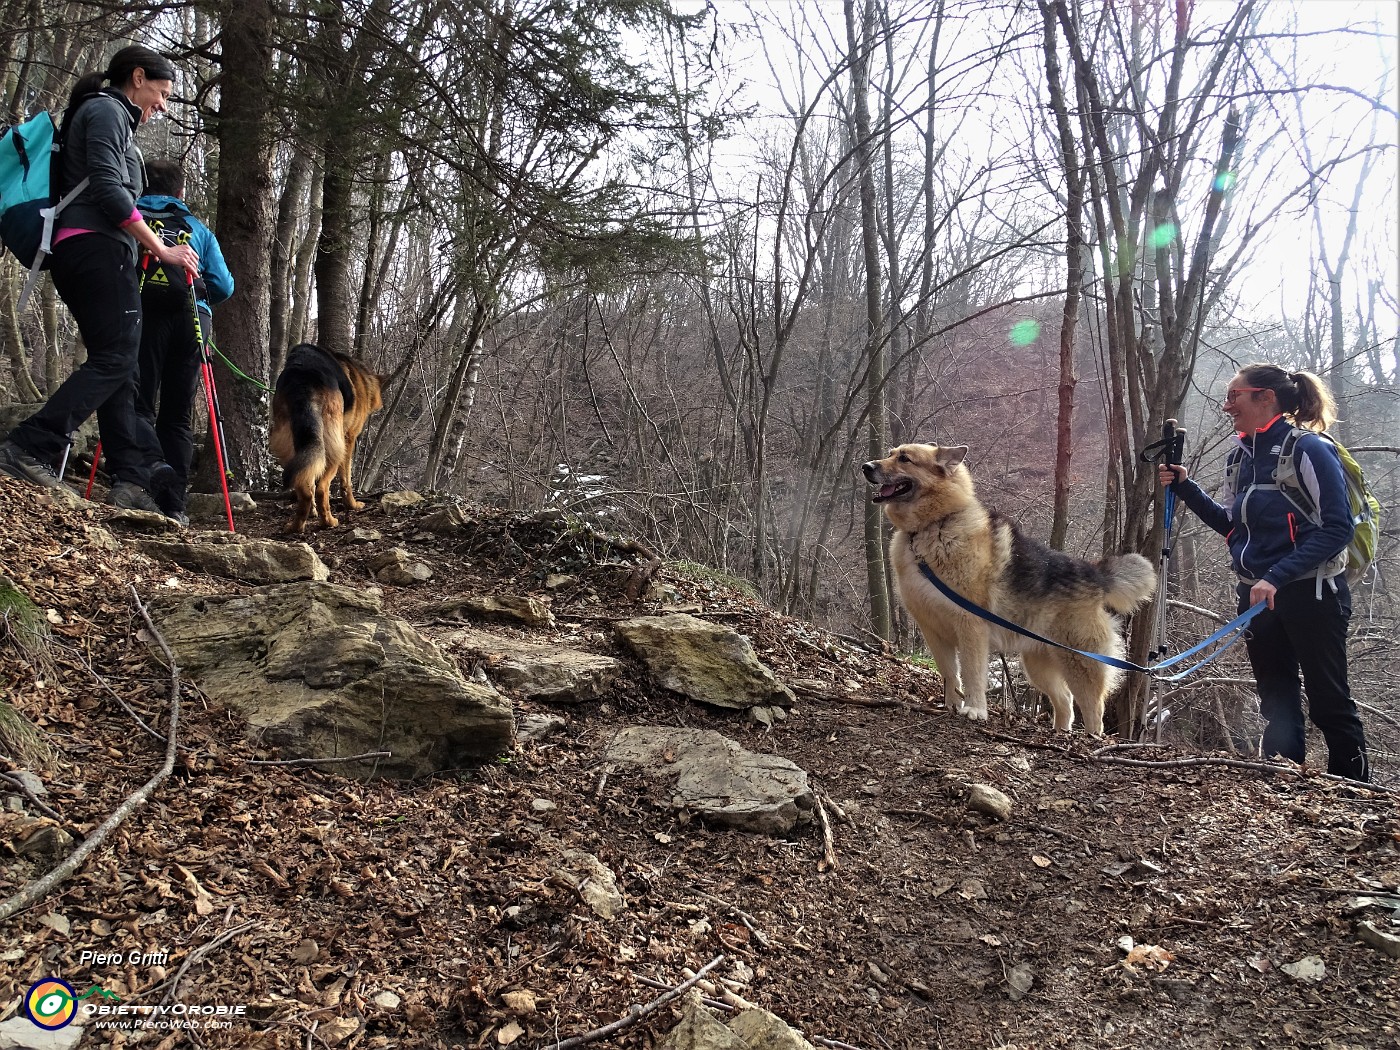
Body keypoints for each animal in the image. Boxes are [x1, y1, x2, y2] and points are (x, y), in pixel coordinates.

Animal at [268, 347, 386, 534]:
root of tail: (303, 378)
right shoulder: (349, 439)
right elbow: (346, 481)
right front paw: (352, 505)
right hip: (334, 449)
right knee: (322, 488)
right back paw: (329, 522)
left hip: (291, 445)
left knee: (305, 487)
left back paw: (297, 524)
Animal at [862, 442, 1159, 733]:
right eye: (890, 453)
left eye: (905, 458)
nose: (866, 466)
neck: (933, 526)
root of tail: (1095, 574)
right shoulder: (933, 631)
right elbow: (949, 673)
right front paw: (950, 706)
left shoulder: (971, 628)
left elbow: (972, 673)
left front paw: (975, 709)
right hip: (1038, 665)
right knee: (1065, 701)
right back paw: (1059, 733)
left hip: (1079, 662)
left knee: (1093, 710)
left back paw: (1090, 739)